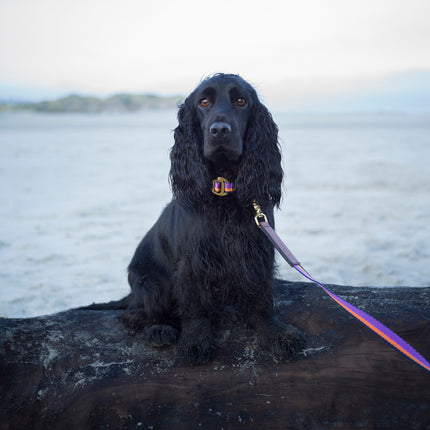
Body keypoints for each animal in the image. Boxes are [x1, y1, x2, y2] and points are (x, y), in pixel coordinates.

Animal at [123, 73, 306, 362]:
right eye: (204, 102)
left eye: (241, 101)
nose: (220, 130)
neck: (223, 188)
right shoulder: (192, 260)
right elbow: (194, 305)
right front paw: (196, 340)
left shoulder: (257, 252)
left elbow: (261, 298)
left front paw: (274, 332)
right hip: (149, 283)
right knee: (135, 314)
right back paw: (158, 329)